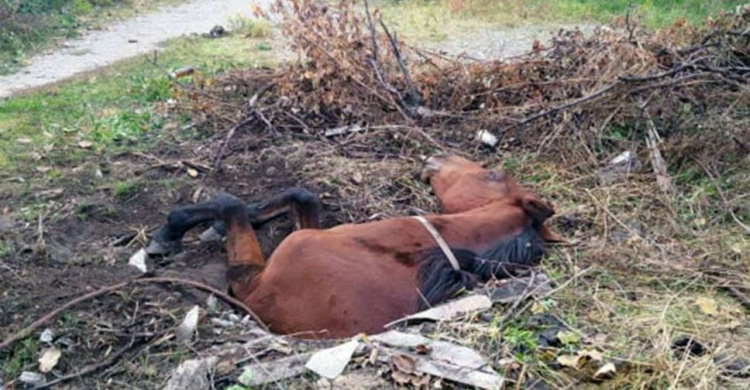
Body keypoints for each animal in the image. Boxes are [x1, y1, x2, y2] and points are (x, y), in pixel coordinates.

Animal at [147, 155, 564, 338]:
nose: (436, 157)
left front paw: (172, 230)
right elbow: (302, 196)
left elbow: (231, 204)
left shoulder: (250, 282)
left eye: (490, 172)